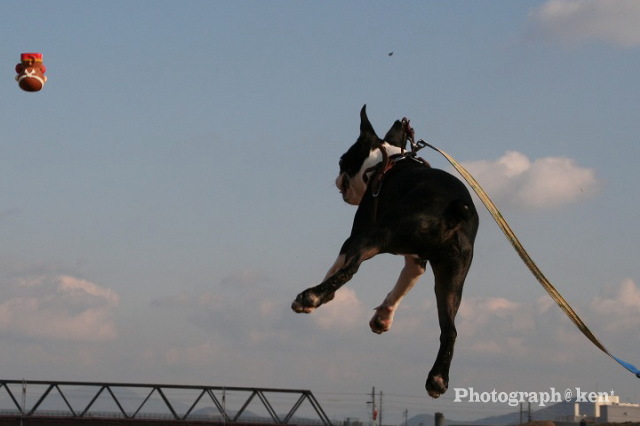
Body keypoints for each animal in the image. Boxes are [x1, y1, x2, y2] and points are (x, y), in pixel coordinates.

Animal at [291, 105, 479, 398]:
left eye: (342, 160)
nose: (337, 178)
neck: (383, 160)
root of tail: (454, 208)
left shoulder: (355, 235)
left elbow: (338, 267)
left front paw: (325, 294)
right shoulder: (417, 261)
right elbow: (405, 281)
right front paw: (383, 316)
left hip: (376, 235)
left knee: (350, 271)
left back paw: (310, 297)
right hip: (452, 276)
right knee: (450, 329)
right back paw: (437, 378)